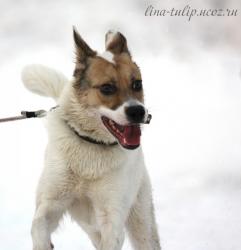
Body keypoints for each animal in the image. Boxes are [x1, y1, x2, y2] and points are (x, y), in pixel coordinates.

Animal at [21, 27, 161, 250]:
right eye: (107, 88)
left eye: (137, 84)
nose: (138, 111)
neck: (91, 146)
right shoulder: (51, 202)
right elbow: (38, 226)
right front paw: (44, 244)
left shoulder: (112, 219)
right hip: (91, 226)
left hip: (141, 219)